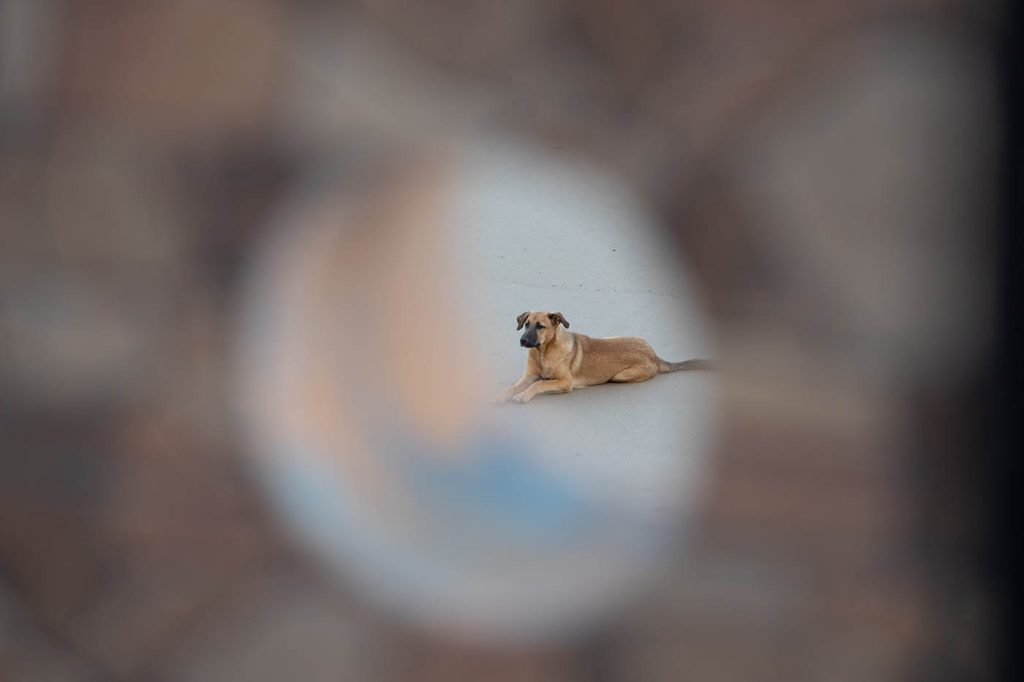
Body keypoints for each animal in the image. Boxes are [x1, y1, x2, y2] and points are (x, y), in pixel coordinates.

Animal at [493, 309, 716, 401]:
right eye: (526, 324)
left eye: (540, 326)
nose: (522, 341)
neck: (544, 352)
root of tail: (654, 354)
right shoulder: (528, 376)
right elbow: (512, 387)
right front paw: (500, 397)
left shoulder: (565, 383)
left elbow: (539, 384)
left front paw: (523, 396)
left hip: (620, 375)